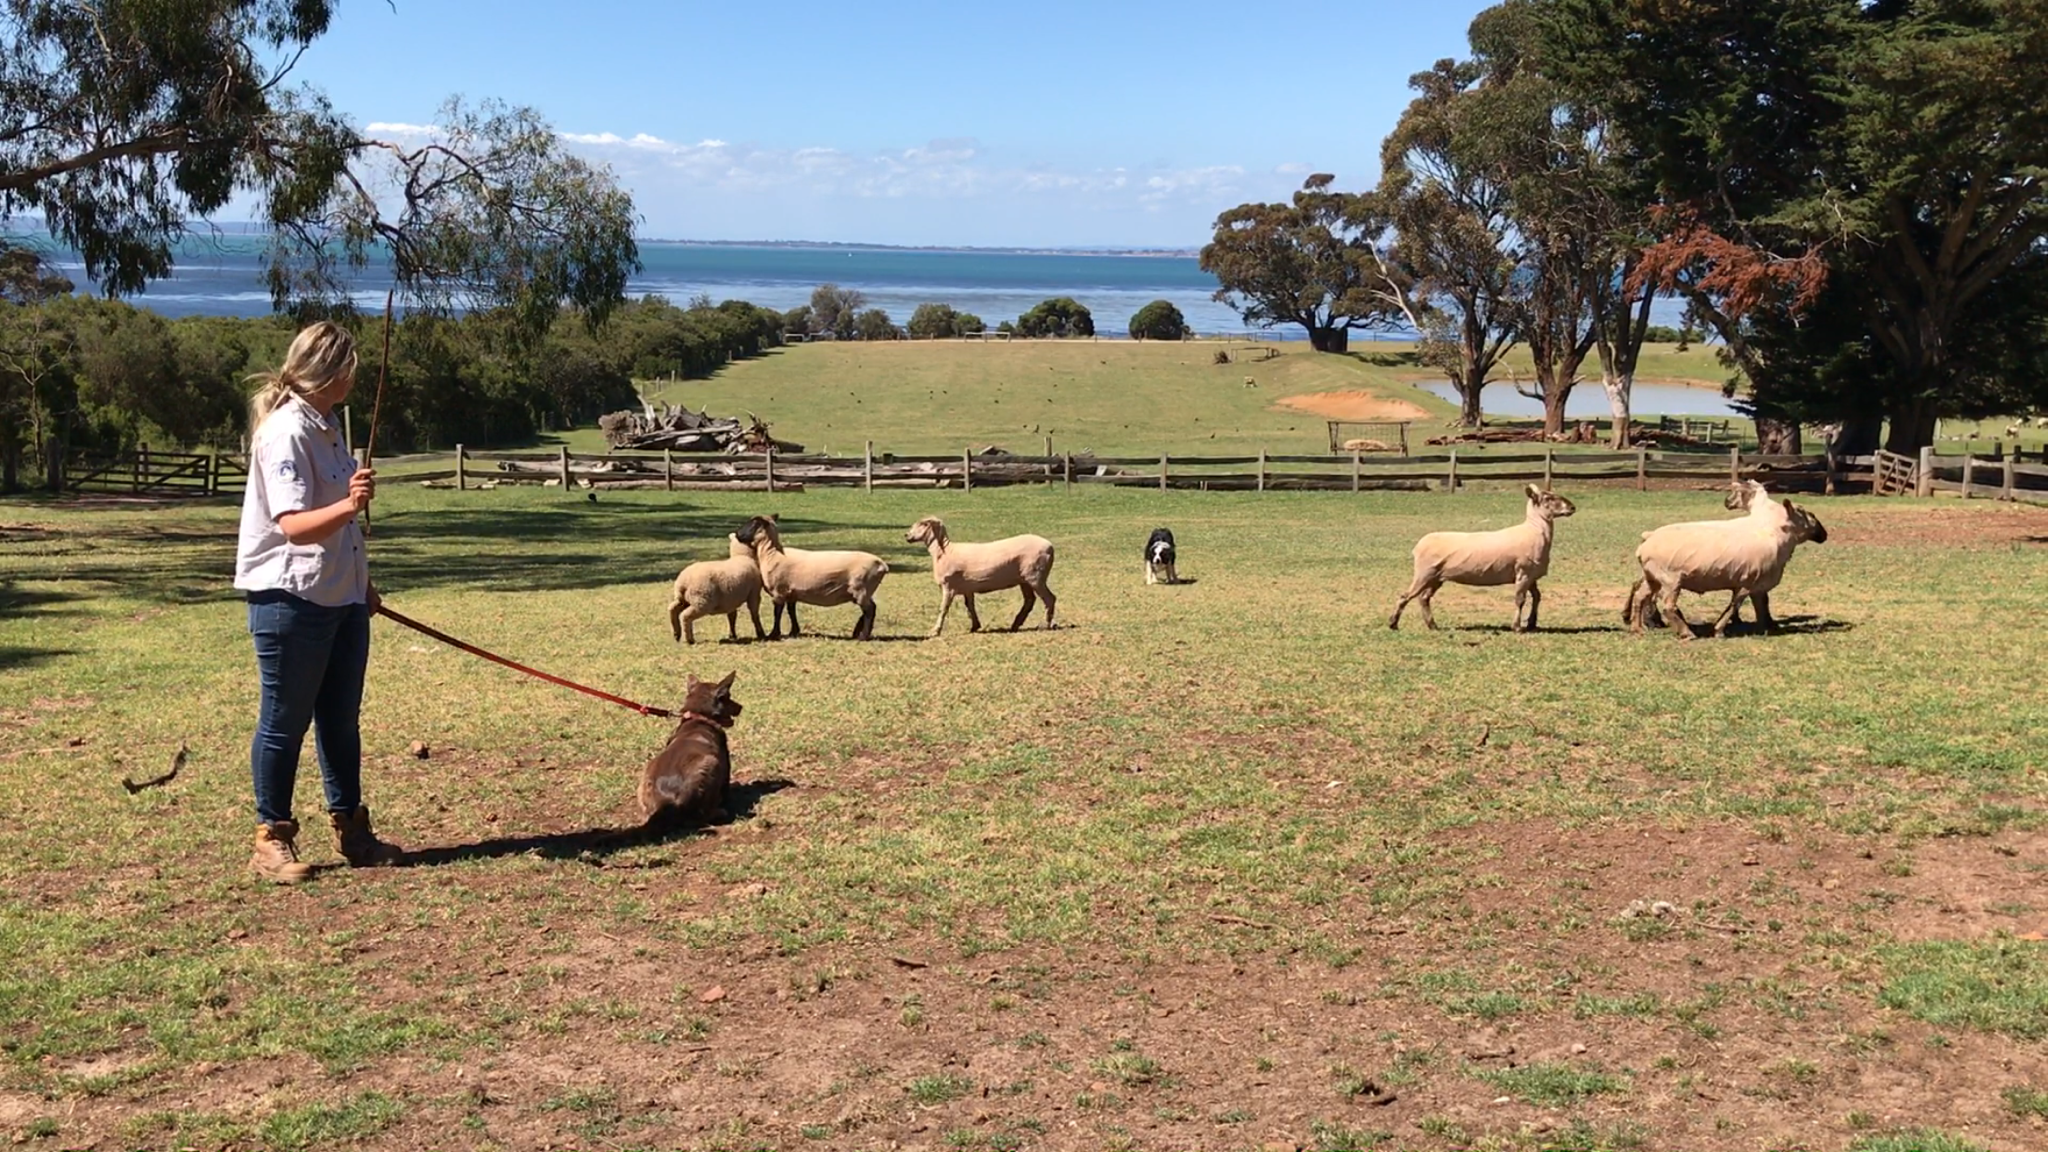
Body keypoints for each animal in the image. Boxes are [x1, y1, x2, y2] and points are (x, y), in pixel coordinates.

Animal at [638, 668, 745, 828]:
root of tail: (668, 803)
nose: (741, 707)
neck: (698, 717)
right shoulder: (724, 760)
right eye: (727, 697)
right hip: (711, 763)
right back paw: (719, 812)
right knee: (702, 816)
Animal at [741, 510, 892, 635]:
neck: (772, 554)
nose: (737, 534)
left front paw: (774, 634)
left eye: (753, 524)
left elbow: (777, 613)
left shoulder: (779, 591)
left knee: (870, 610)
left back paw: (863, 636)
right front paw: (794, 632)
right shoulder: (791, 593)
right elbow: (791, 611)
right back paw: (857, 633)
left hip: (861, 588)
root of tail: (881, 564)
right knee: (869, 609)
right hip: (865, 590)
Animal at [905, 512, 1056, 635]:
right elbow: (970, 607)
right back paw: (1016, 624)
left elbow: (943, 609)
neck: (943, 552)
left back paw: (1044, 625)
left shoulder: (948, 586)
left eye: (923, 524)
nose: (906, 535)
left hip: (1035, 576)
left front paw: (935, 631)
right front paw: (975, 626)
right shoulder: (967, 588)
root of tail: (1050, 547)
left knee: (1049, 598)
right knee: (1030, 600)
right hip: (1025, 580)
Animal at [1392, 481, 1581, 631]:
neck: (1535, 530)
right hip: (1424, 573)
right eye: (1548, 498)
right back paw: (1393, 624)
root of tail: (1418, 545)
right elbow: (1519, 599)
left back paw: (1432, 625)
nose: (1572, 507)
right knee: (1405, 596)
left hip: (1437, 577)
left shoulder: (1531, 575)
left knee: (1424, 598)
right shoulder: (1524, 572)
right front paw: (1517, 627)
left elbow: (1537, 597)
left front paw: (1532, 623)